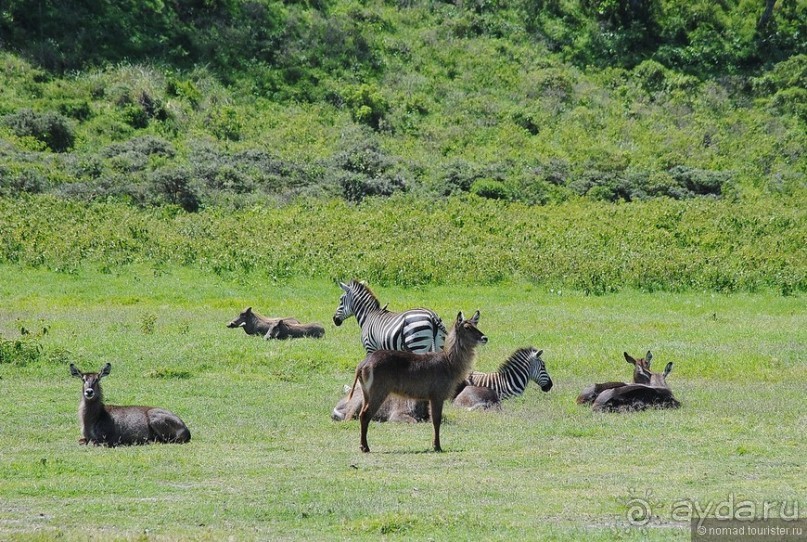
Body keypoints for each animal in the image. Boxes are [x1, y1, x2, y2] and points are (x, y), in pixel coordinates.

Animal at [348, 310, 486, 454]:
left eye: (476, 324)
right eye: (467, 327)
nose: (485, 338)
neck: (449, 363)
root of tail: (362, 364)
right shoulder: (437, 395)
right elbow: (436, 420)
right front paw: (437, 446)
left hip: (366, 393)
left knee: (362, 414)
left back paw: (363, 446)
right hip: (378, 392)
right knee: (365, 415)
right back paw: (365, 447)